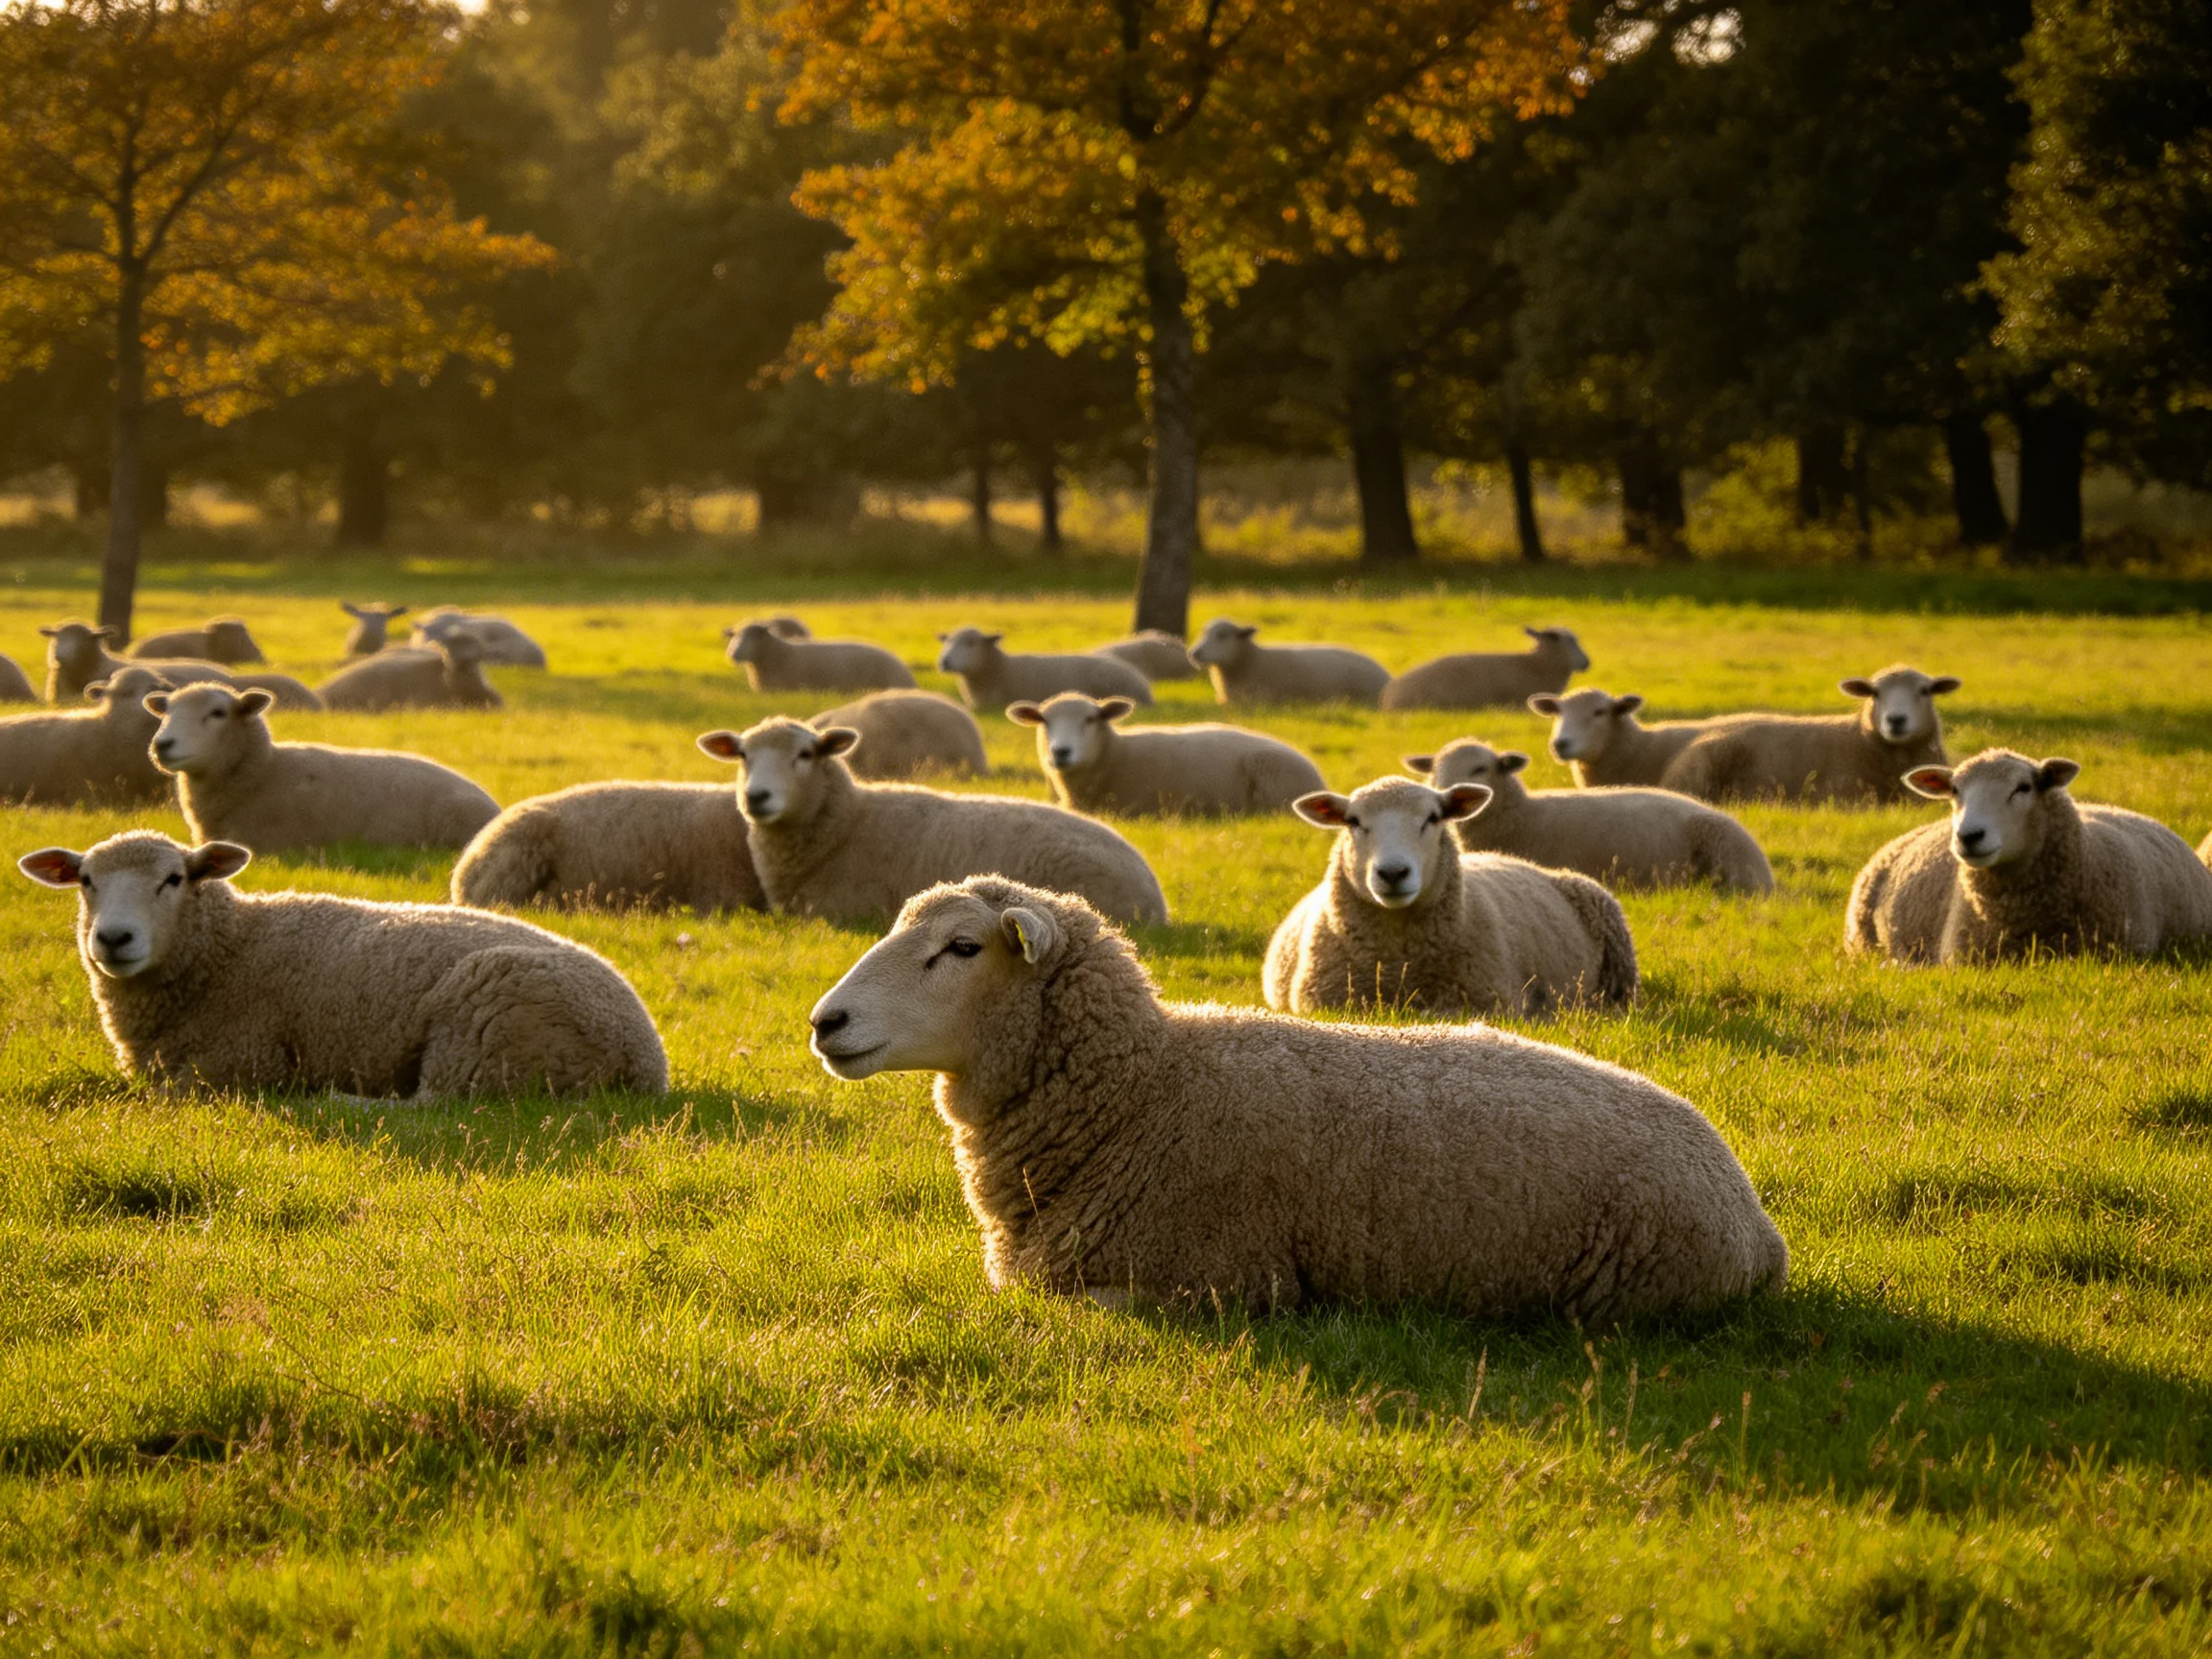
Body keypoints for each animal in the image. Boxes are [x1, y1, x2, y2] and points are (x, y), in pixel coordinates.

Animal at [19, 831, 665, 1099]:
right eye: (85, 880)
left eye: (174, 879)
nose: (113, 938)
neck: (228, 949)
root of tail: (646, 1057)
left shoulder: (238, 1062)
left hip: (485, 1035)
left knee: (434, 1105)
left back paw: (334, 1099)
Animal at [1263, 776, 1637, 1018]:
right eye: (1353, 821)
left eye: (1433, 818)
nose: (1393, 873)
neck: (1399, 964)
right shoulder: (1325, 1004)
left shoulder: (1485, 1003)